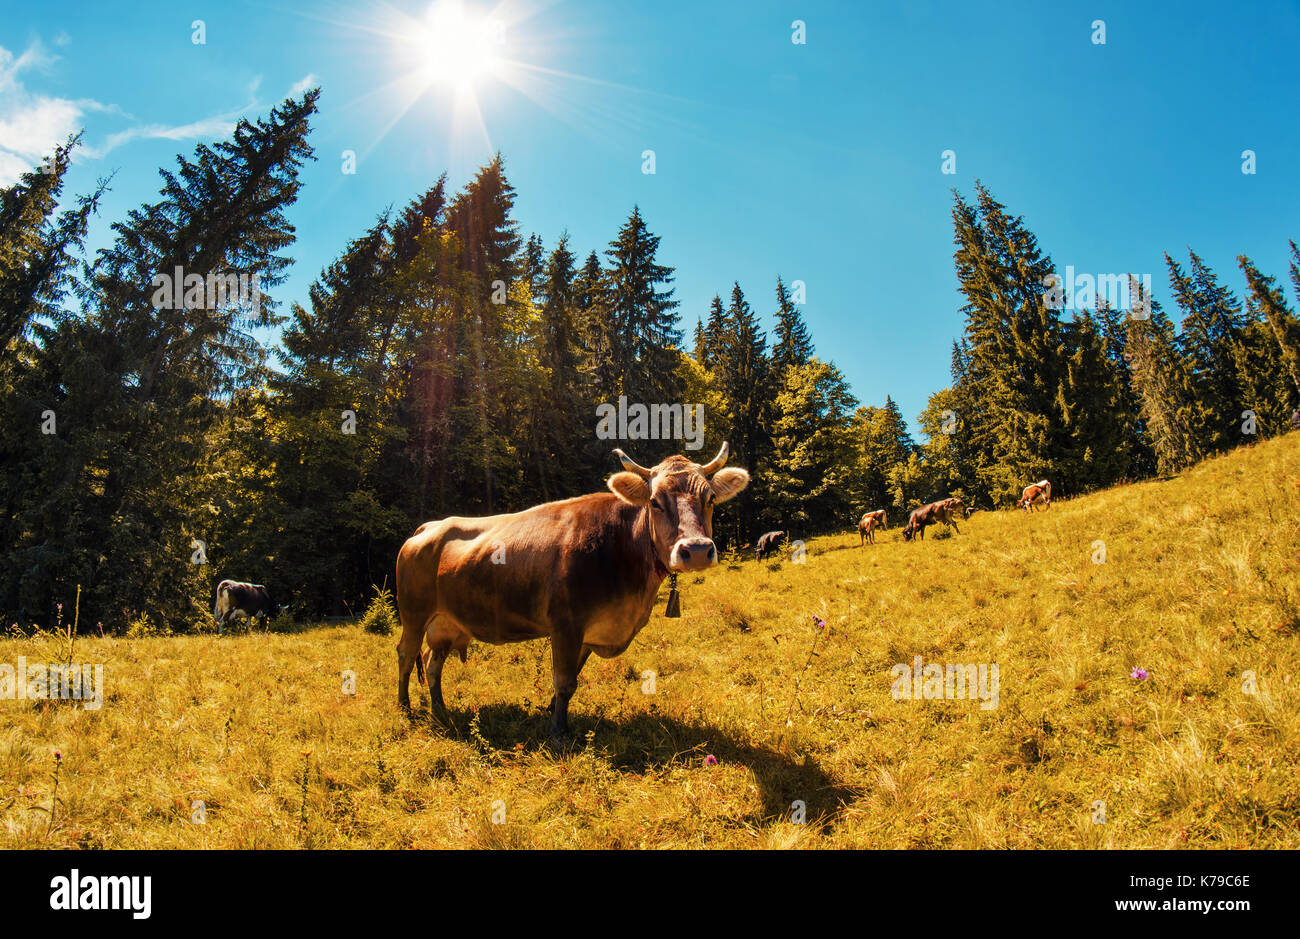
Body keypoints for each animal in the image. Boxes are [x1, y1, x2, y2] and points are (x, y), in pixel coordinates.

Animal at [394, 442, 750, 738]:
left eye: (710, 498)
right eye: (654, 502)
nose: (697, 550)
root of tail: (430, 526)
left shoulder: (590, 632)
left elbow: (571, 679)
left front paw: (552, 711)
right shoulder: (565, 623)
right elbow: (564, 680)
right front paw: (558, 731)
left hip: (446, 623)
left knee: (432, 662)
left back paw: (440, 708)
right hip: (414, 614)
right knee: (406, 654)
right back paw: (404, 708)